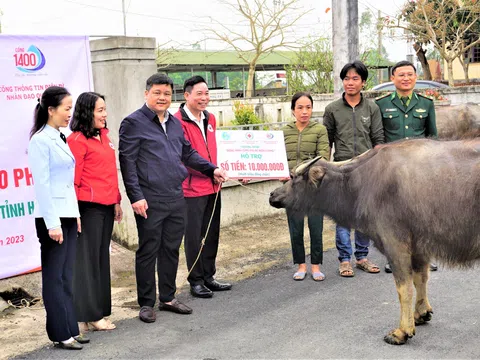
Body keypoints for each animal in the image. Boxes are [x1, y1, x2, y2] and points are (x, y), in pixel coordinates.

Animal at [270, 136, 480, 344]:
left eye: (293, 178)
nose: (272, 194)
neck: (358, 183)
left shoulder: (395, 243)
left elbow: (404, 288)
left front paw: (402, 331)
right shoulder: (419, 246)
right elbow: (420, 279)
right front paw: (421, 314)